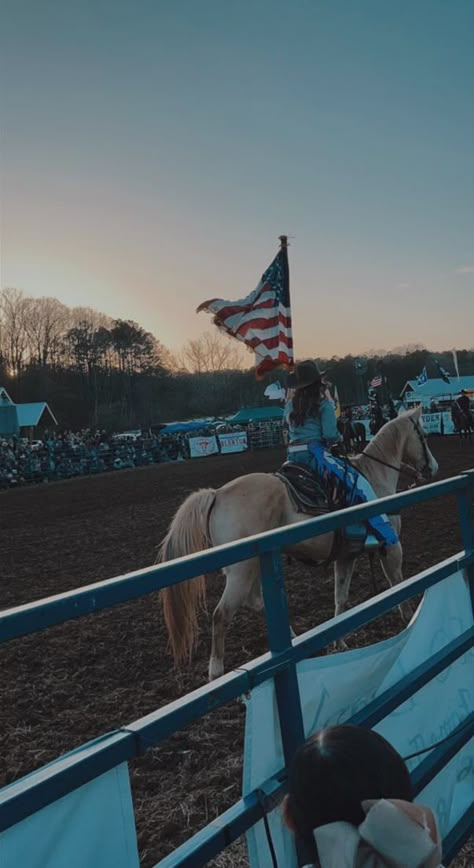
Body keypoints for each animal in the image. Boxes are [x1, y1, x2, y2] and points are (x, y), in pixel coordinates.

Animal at [161, 404, 438, 680]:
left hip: (250, 568)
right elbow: (398, 583)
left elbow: (341, 597)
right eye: (423, 436)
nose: (433, 467)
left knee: (256, 602)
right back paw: (216, 672)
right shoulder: (391, 546)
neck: (374, 476)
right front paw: (409, 618)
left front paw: (339, 642)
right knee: (221, 615)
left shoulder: (346, 556)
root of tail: (217, 494)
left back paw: (293, 643)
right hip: (241, 571)